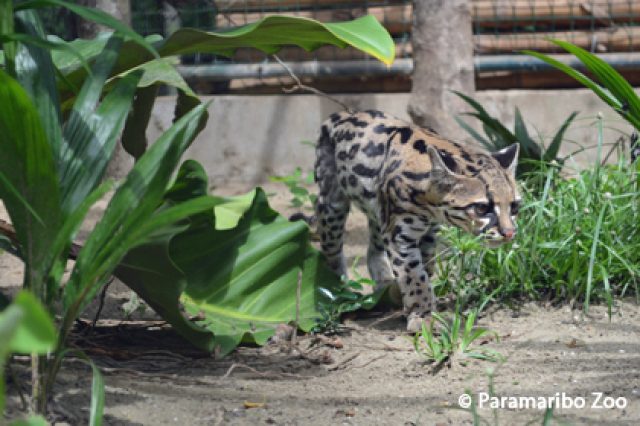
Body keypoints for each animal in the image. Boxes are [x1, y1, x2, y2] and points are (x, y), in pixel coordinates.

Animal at [314, 110, 520, 332]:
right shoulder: (399, 235)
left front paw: (413, 302)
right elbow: (414, 276)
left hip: (379, 211)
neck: (430, 206)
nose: (509, 233)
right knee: (332, 251)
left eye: (515, 206)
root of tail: (341, 113)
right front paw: (422, 316)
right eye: (482, 208)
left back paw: (385, 285)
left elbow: (425, 268)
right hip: (333, 204)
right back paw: (338, 291)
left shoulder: (427, 233)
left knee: (373, 249)